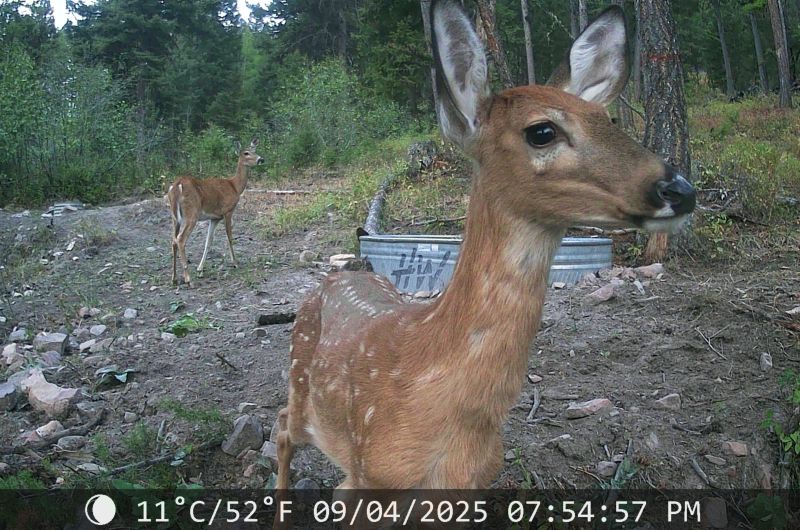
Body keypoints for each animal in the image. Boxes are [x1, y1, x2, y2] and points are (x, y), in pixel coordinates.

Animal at [167, 139, 263, 287]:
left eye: (255, 150)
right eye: (246, 153)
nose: (261, 159)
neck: (235, 186)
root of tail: (177, 185)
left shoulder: (214, 218)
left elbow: (208, 241)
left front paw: (200, 269)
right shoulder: (228, 211)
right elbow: (230, 238)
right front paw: (235, 263)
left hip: (174, 217)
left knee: (173, 240)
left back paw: (174, 279)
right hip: (191, 214)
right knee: (180, 239)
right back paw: (188, 279)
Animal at [273, 0, 695, 498]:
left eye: (607, 120)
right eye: (542, 131)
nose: (680, 189)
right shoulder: (366, 476)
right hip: (302, 387)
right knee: (281, 425)